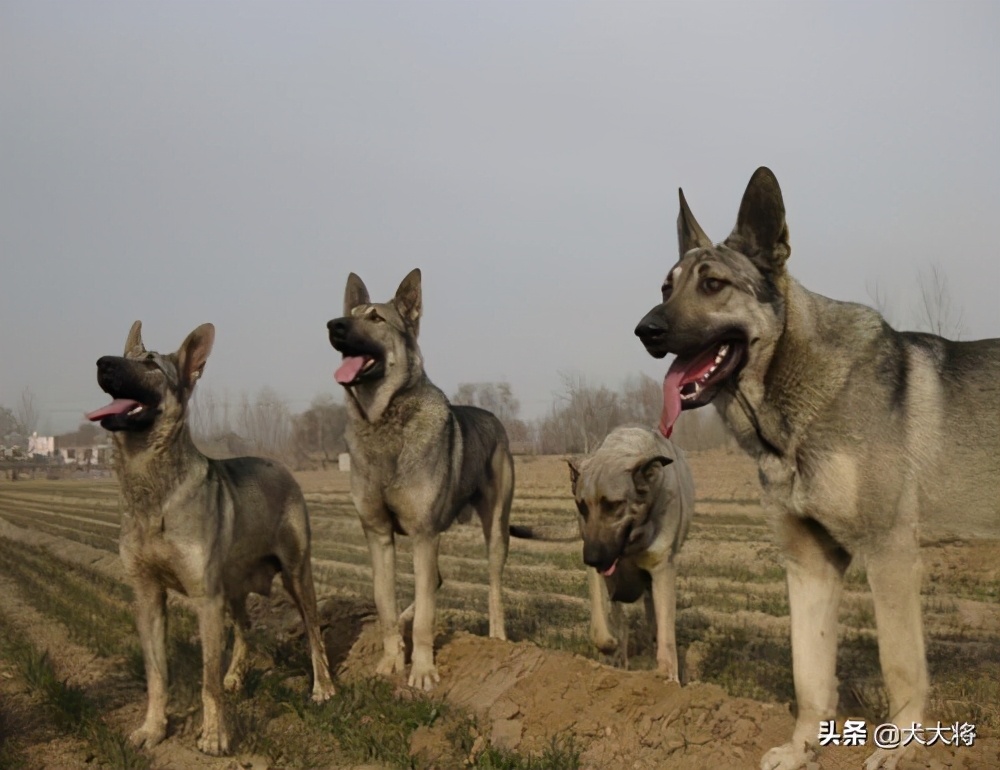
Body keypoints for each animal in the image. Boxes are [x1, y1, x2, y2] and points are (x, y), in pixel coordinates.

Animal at [88, 320, 334, 752]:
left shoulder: (205, 599)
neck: (154, 491)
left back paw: (323, 687)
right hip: (232, 587)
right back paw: (235, 675)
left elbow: (207, 682)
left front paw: (215, 736)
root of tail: (281, 465)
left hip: (296, 575)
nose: (102, 363)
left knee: (313, 632)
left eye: (151, 365)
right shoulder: (148, 596)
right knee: (245, 629)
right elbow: (157, 675)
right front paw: (153, 728)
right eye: (126, 356)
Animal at [328, 268, 516, 688]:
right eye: (351, 313)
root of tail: (495, 419)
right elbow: (385, 605)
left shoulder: (423, 534)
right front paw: (389, 661)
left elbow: (427, 617)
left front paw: (424, 671)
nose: (333, 325)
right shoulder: (378, 535)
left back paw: (498, 641)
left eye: (376, 318)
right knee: (437, 581)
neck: (383, 419)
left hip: (496, 530)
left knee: (494, 587)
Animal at [568, 426, 692, 680]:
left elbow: (666, 633)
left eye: (613, 505)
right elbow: (601, 629)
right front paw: (612, 648)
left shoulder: (662, 568)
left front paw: (666, 676)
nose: (591, 558)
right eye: (582, 506)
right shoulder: (600, 574)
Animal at [636, 168, 996, 768]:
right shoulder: (809, 564)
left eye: (713, 285)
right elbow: (809, 673)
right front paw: (804, 746)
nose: (645, 330)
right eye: (667, 288)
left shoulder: (890, 553)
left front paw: (901, 746)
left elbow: (900, 665)